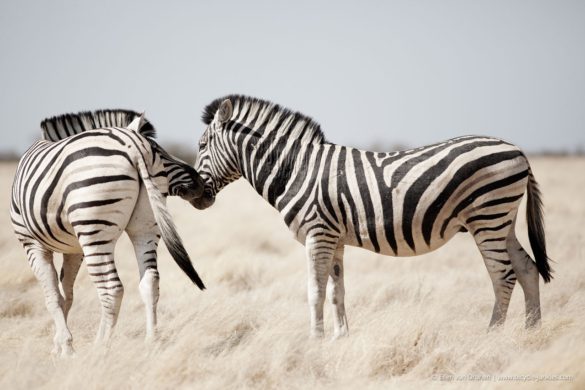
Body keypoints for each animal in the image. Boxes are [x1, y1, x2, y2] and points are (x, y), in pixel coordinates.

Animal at [9, 109, 208, 356]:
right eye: (159, 151)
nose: (201, 184)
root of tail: (133, 144)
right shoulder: (74, 250)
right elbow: (66, 294)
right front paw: (59, 345)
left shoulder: (31, 243)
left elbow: (53, 295)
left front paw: (65, 347)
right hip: (145, 226)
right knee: (150, 281)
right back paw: (151, 342)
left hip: (94, 231)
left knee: (111, 289)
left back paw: (100, 347)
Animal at [193, 93, 552, 338]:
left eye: (201, 145)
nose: (195, 195)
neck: (296, 169)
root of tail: (518, 151)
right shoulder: (334, 238)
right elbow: (336, 291)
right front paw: (339, 339)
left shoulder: (318, 233)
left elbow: (315, 291)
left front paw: (314, 342)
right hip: (503, 220)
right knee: (527, 269)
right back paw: (531, 334)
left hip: (488, 216)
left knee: (503, 275)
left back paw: (491, 335)